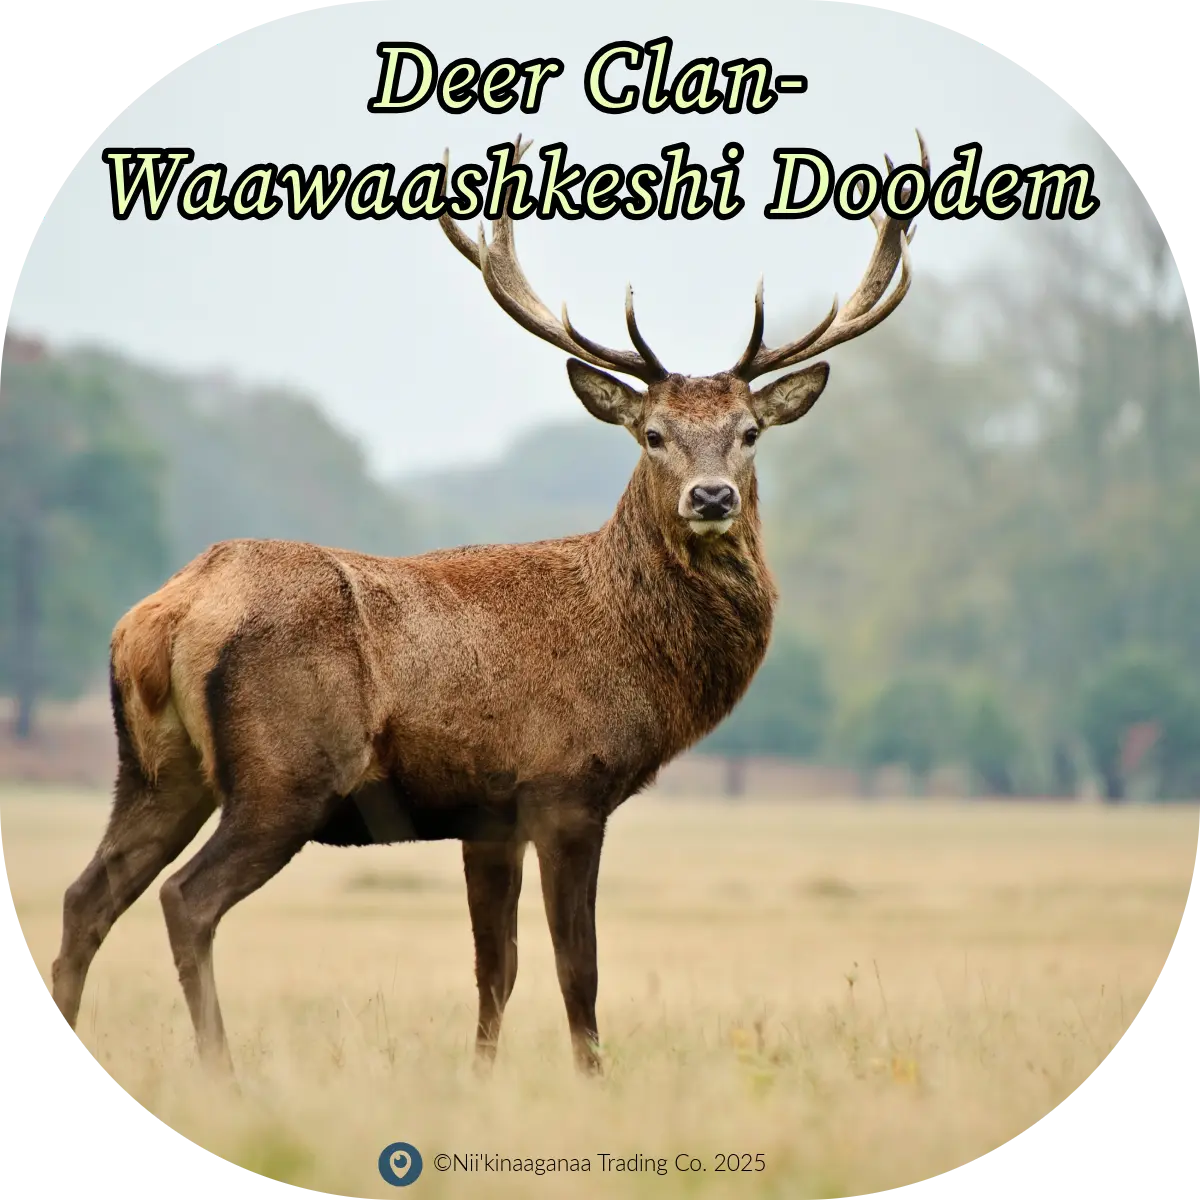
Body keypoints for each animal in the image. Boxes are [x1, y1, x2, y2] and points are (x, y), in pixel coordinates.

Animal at [49, 132, 928, 1079]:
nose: (712, 496)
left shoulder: (488, 815)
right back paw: (225, 1071)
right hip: (285, 773)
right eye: (652, 434)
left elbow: (494, 969)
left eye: (750, 432)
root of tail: (165, 615)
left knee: (86, 896)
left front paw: (480, 1078)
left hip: (156, 769)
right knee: (187, 900)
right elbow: (577, 967)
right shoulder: (565, 785)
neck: (632, 650)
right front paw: (593, 1081)